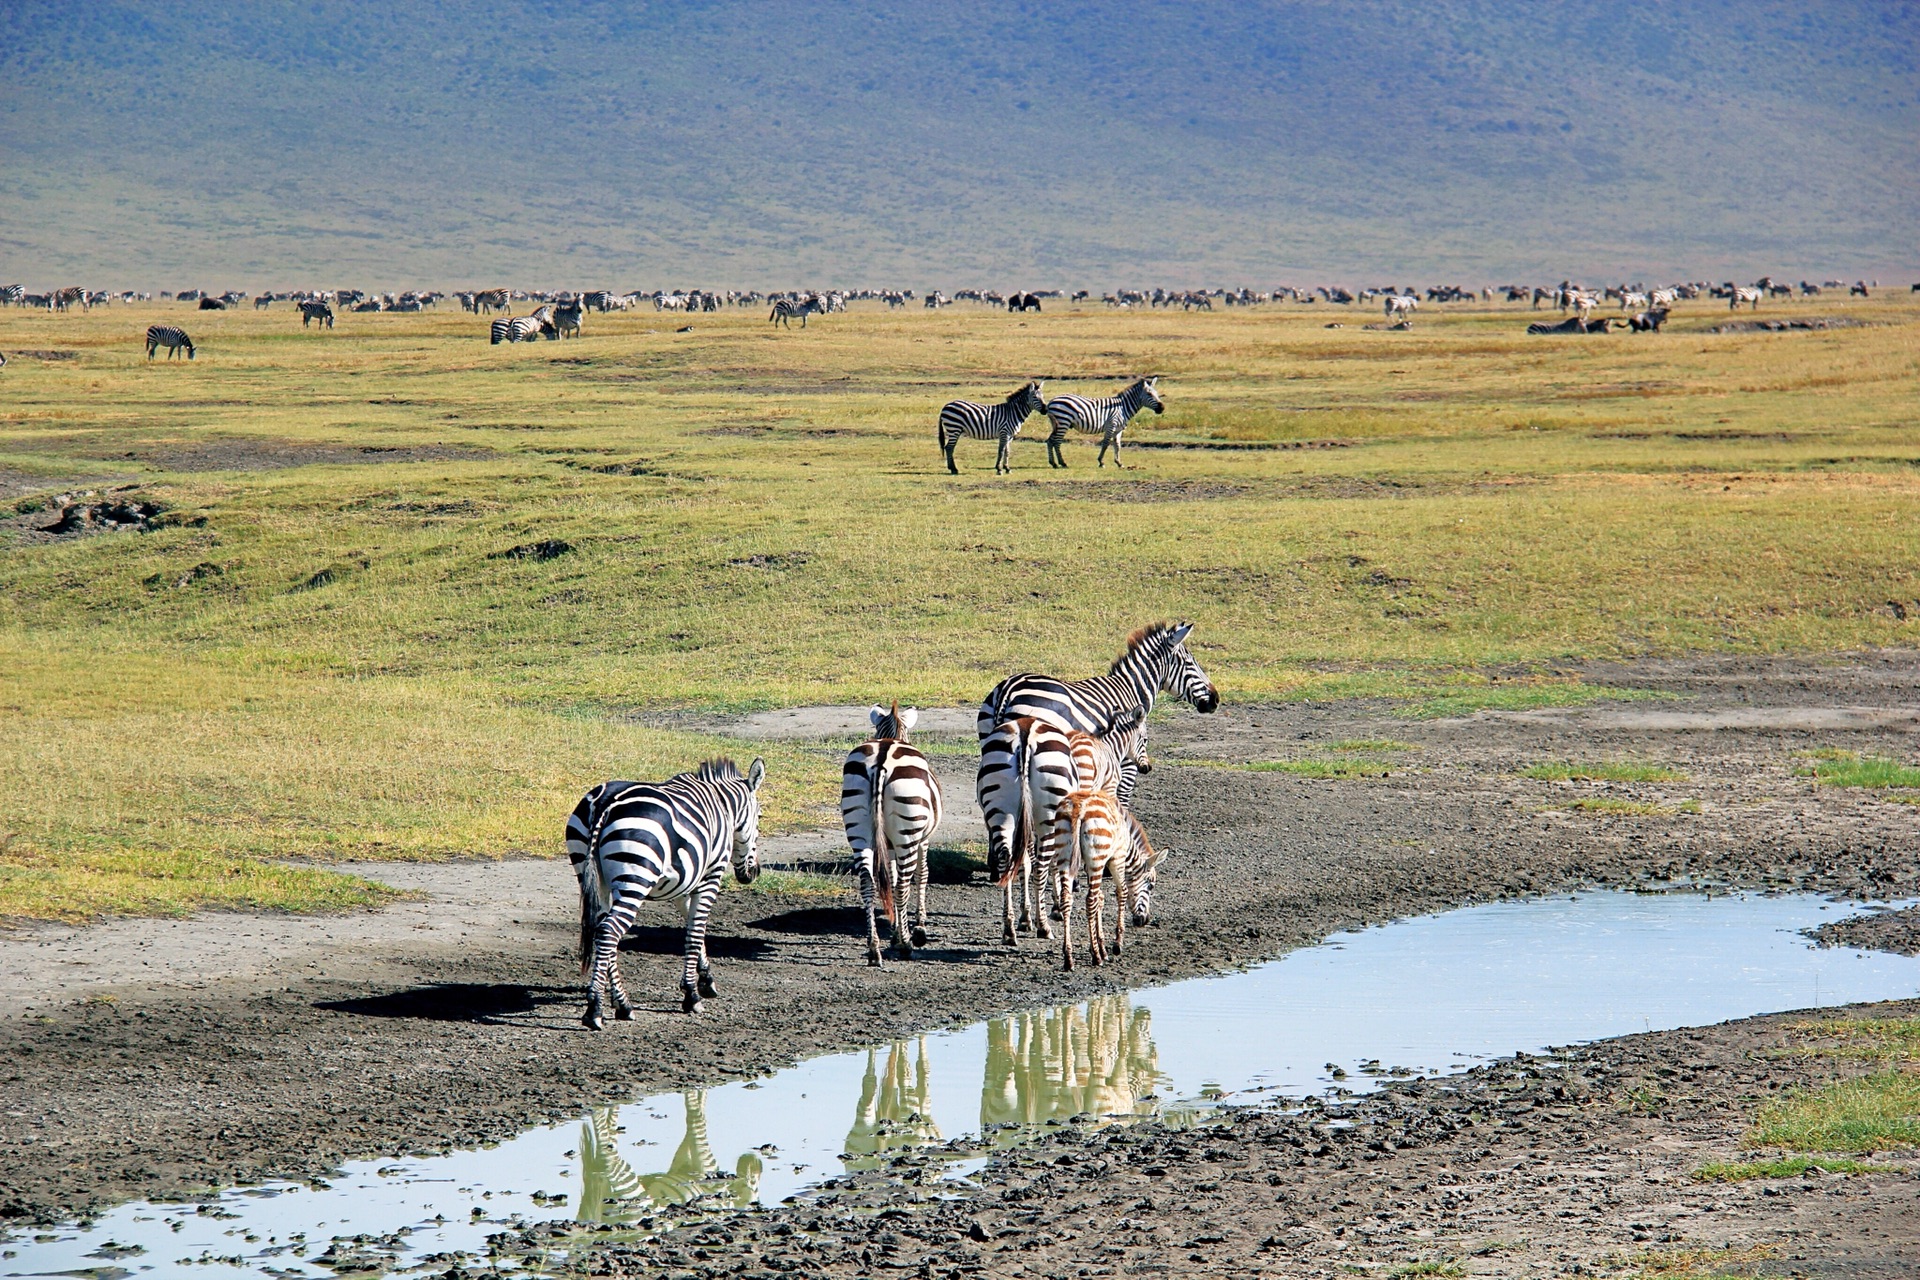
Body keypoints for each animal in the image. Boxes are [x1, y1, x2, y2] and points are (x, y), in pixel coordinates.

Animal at [560, 759, 764, 1020]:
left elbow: (693, 926)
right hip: (635, 877)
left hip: (593, 875)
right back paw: (595, 1009)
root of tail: (605, 802)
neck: (723, 805)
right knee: (608, 931)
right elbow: (695, 933)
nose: (752, 874)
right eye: (759, 817)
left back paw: (622, 1003)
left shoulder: (684, 884)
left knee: (600, 930)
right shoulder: (711, 876)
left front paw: (705, 979)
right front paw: (691, 995)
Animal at [844, 706, 948, 967]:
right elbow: (922, 875)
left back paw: (874, 950)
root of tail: (881, 760)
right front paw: (918, 928)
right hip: (909, 834)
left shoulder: (889, 846)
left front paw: (894, 932)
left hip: (858, 829)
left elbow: (889, 881)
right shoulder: (923, 840)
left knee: (868, 883)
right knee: (903, 885)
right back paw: (906, 946)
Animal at [983, 706, 1144, 948]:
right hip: (1050, 814)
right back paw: (1043, 926)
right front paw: (1056, 904)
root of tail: (1025, 733)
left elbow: (1025, 864)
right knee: (1041, 865)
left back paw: (1009, 929)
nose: (1146, 767)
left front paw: (1027, 916)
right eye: (1144, 738)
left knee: (1007, 858)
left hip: (1001, 811)